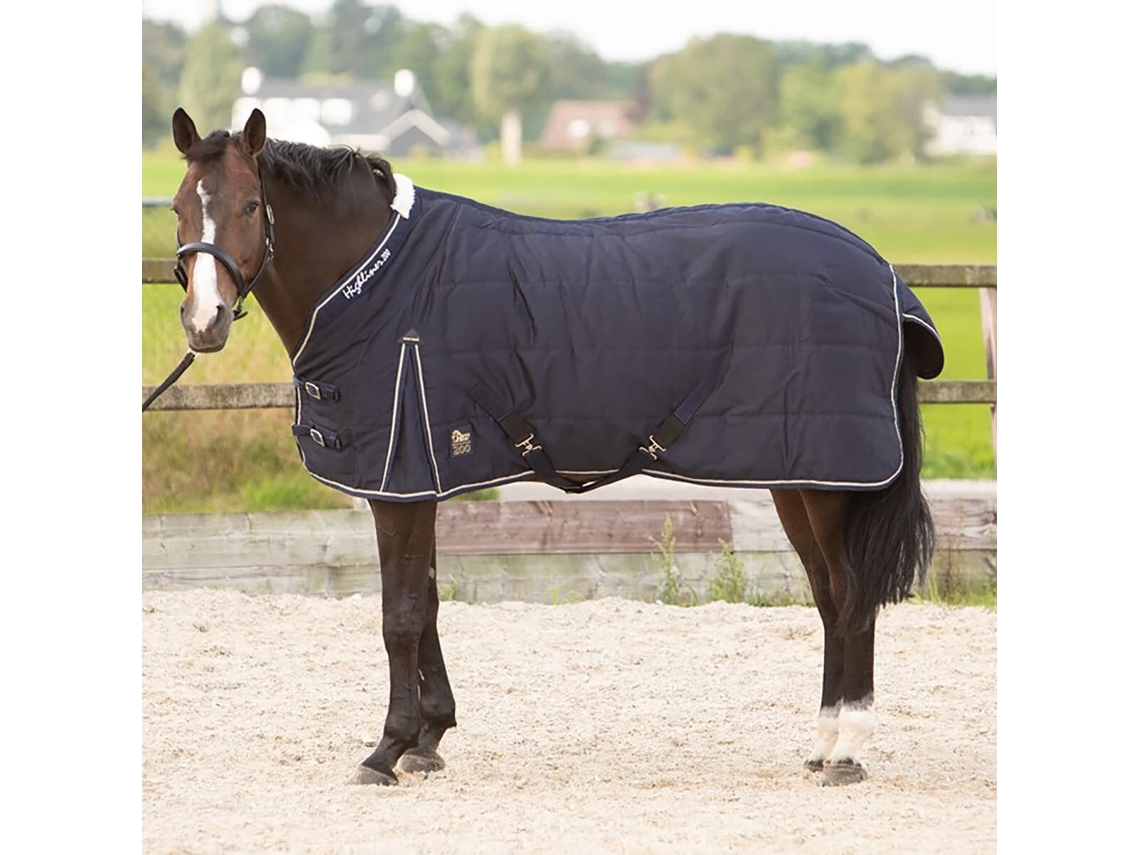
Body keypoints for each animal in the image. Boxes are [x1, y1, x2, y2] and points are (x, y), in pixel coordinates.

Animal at [155, 106, 943, 788]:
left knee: (851, 597)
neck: (378, 283)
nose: (203, 322)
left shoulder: (398, 481)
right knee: (831, 596)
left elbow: (399, 614)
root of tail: (881, 273)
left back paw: (846, 750)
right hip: (798, 477)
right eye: (179, 208)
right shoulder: (421, 479)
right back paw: (823, 744)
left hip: (829, 482)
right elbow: (429, 602)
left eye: (250, 206)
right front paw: (429, 738)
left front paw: (387, 748)